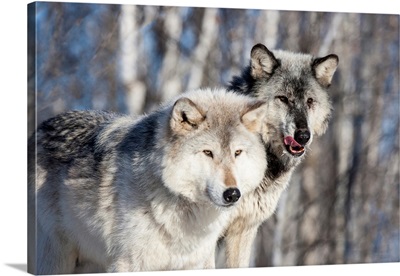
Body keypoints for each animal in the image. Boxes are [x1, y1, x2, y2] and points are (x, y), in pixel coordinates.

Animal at [28, 87, 268, 272]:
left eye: (237, 153)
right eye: (208, 152)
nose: (232, 194)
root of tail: (39, 128)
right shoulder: (128, 263)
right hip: (57, 256)